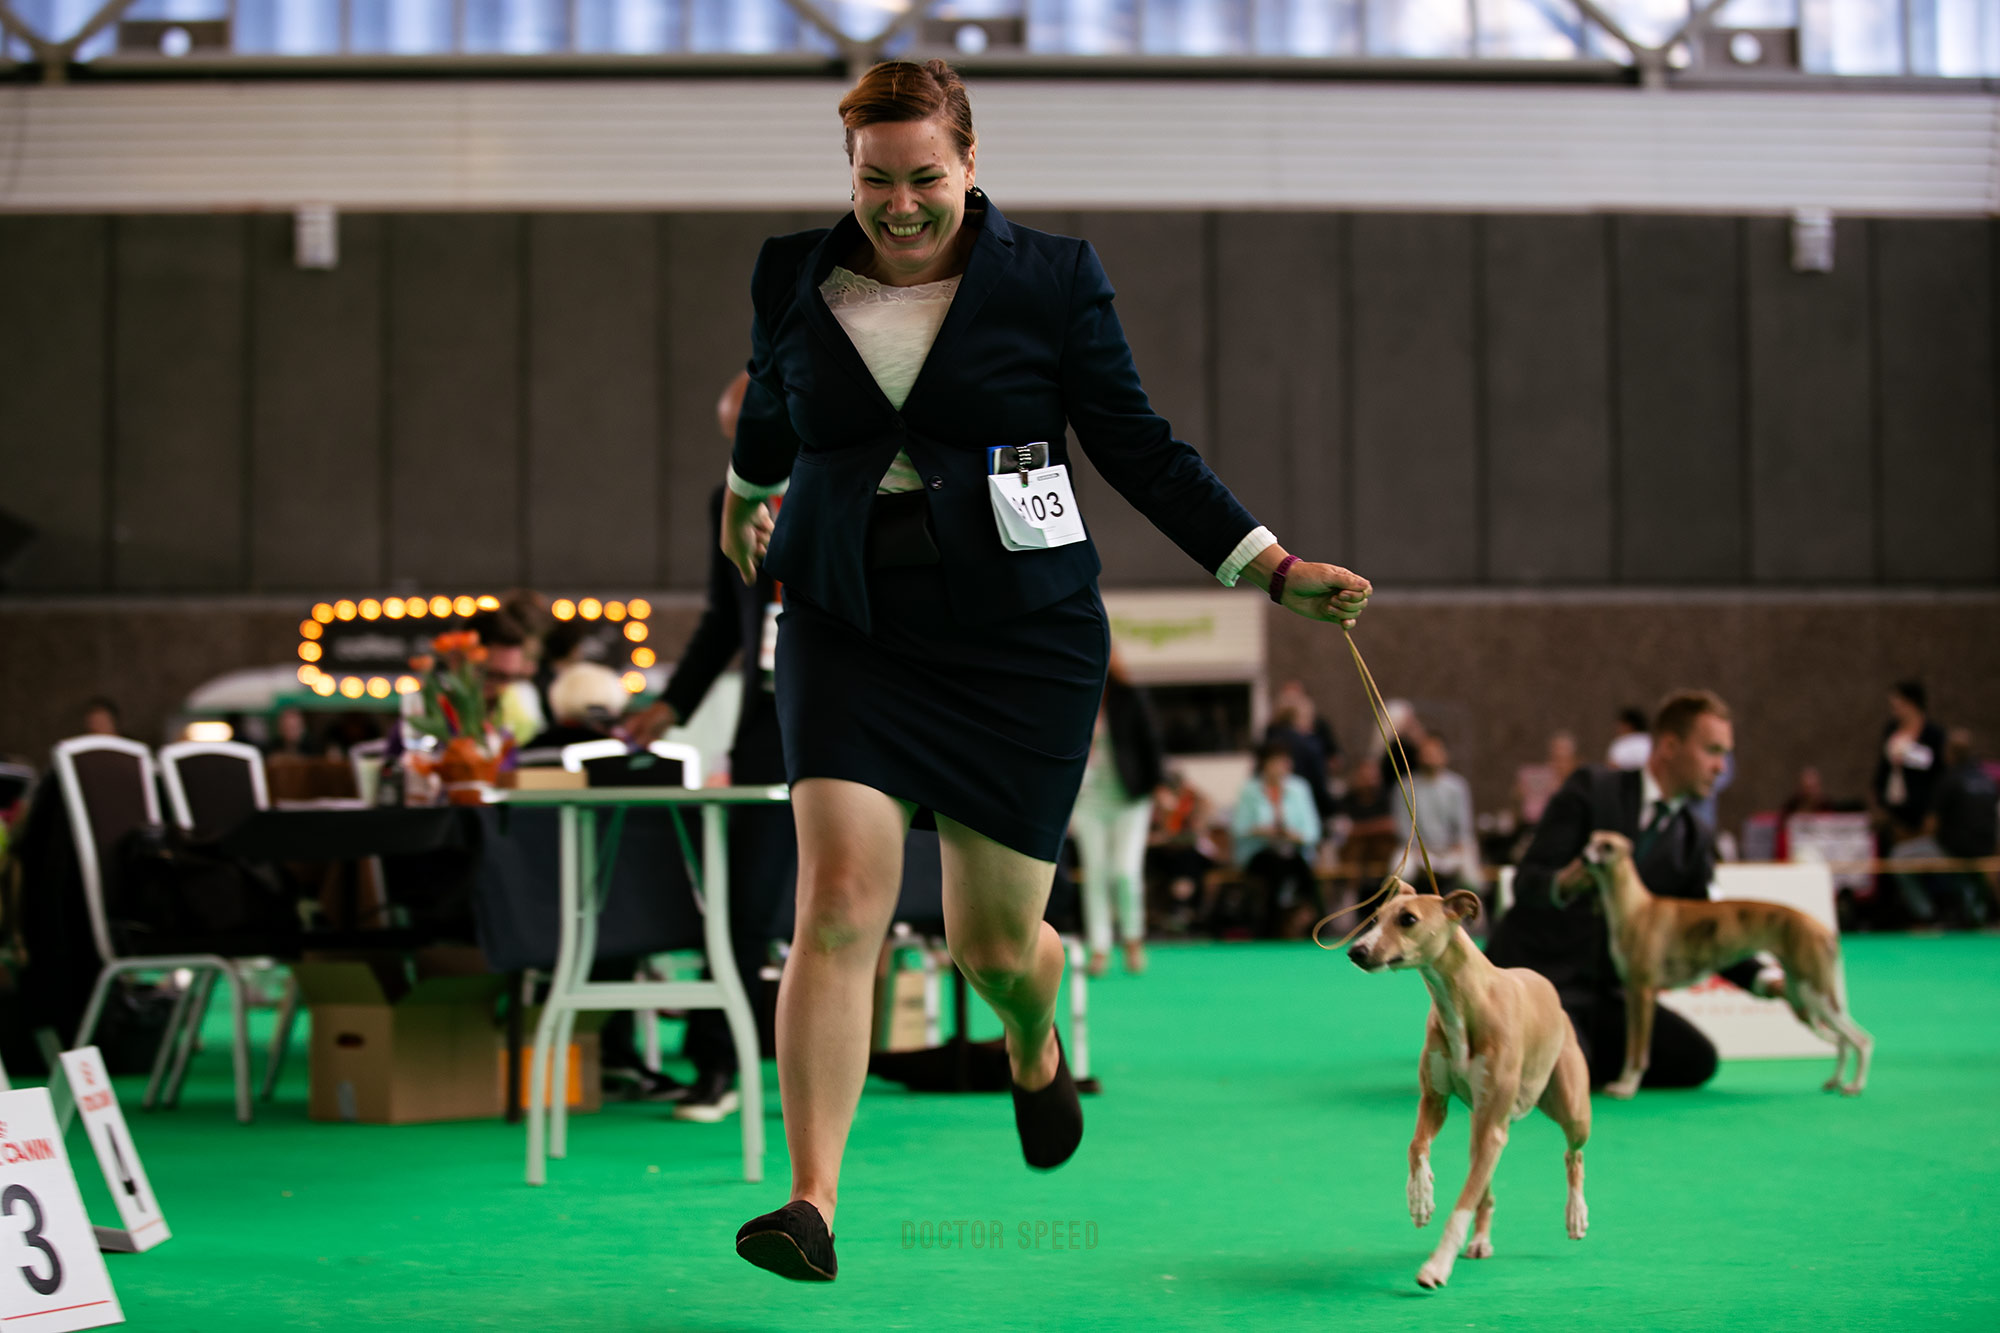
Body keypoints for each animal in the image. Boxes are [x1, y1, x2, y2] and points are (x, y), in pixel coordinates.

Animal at [1352, 876, 1584, 1280]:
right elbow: (1417, 1145)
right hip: (1480, 1124)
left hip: (1568, 1106)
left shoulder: (1494, 1125)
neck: (1464, 1003)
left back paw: (1576, 1214)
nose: (1356, 951)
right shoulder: (1436, 1100)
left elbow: (1461, 1206)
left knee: (1574, 1154)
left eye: (1408, 919)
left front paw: (1436, 1266)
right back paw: (1480, 1241)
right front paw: (1420, 1197)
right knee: (1486, 1187)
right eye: (1375, 917)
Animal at [1552, 824, 1864, 1096]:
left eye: (1607, 846)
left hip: (1816, 995)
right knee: (1842, 1041)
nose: (1583, 856)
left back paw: (1854, 1086)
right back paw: (1835, 1082)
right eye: (1590, 841)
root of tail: (1822, 928)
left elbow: (1638, 1052)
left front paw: (1627, 1087)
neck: (1635, 907)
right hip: (1804, 999)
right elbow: (1631, 1047)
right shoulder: (1632, 994)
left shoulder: (1642, 991)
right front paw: (1622, 1083)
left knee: (1861, 1039)